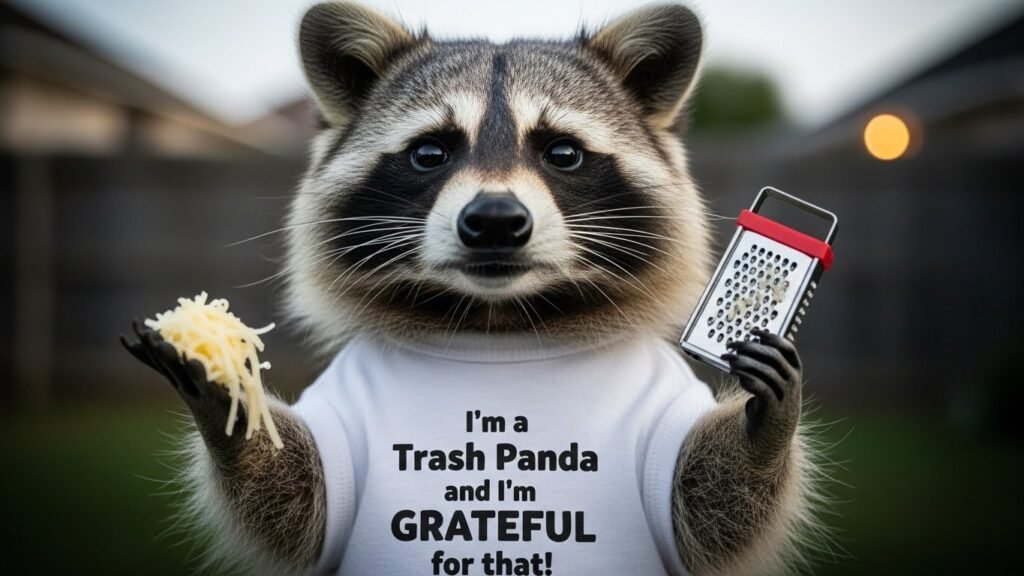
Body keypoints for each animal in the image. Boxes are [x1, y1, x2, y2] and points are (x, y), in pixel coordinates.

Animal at [122, 2, 823, 575]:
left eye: (561, 152)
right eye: (430, 152)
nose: (493, 221)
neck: (497, 322)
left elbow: (708, 508)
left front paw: (763, 429)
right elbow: (297, 506)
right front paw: (227, 399)